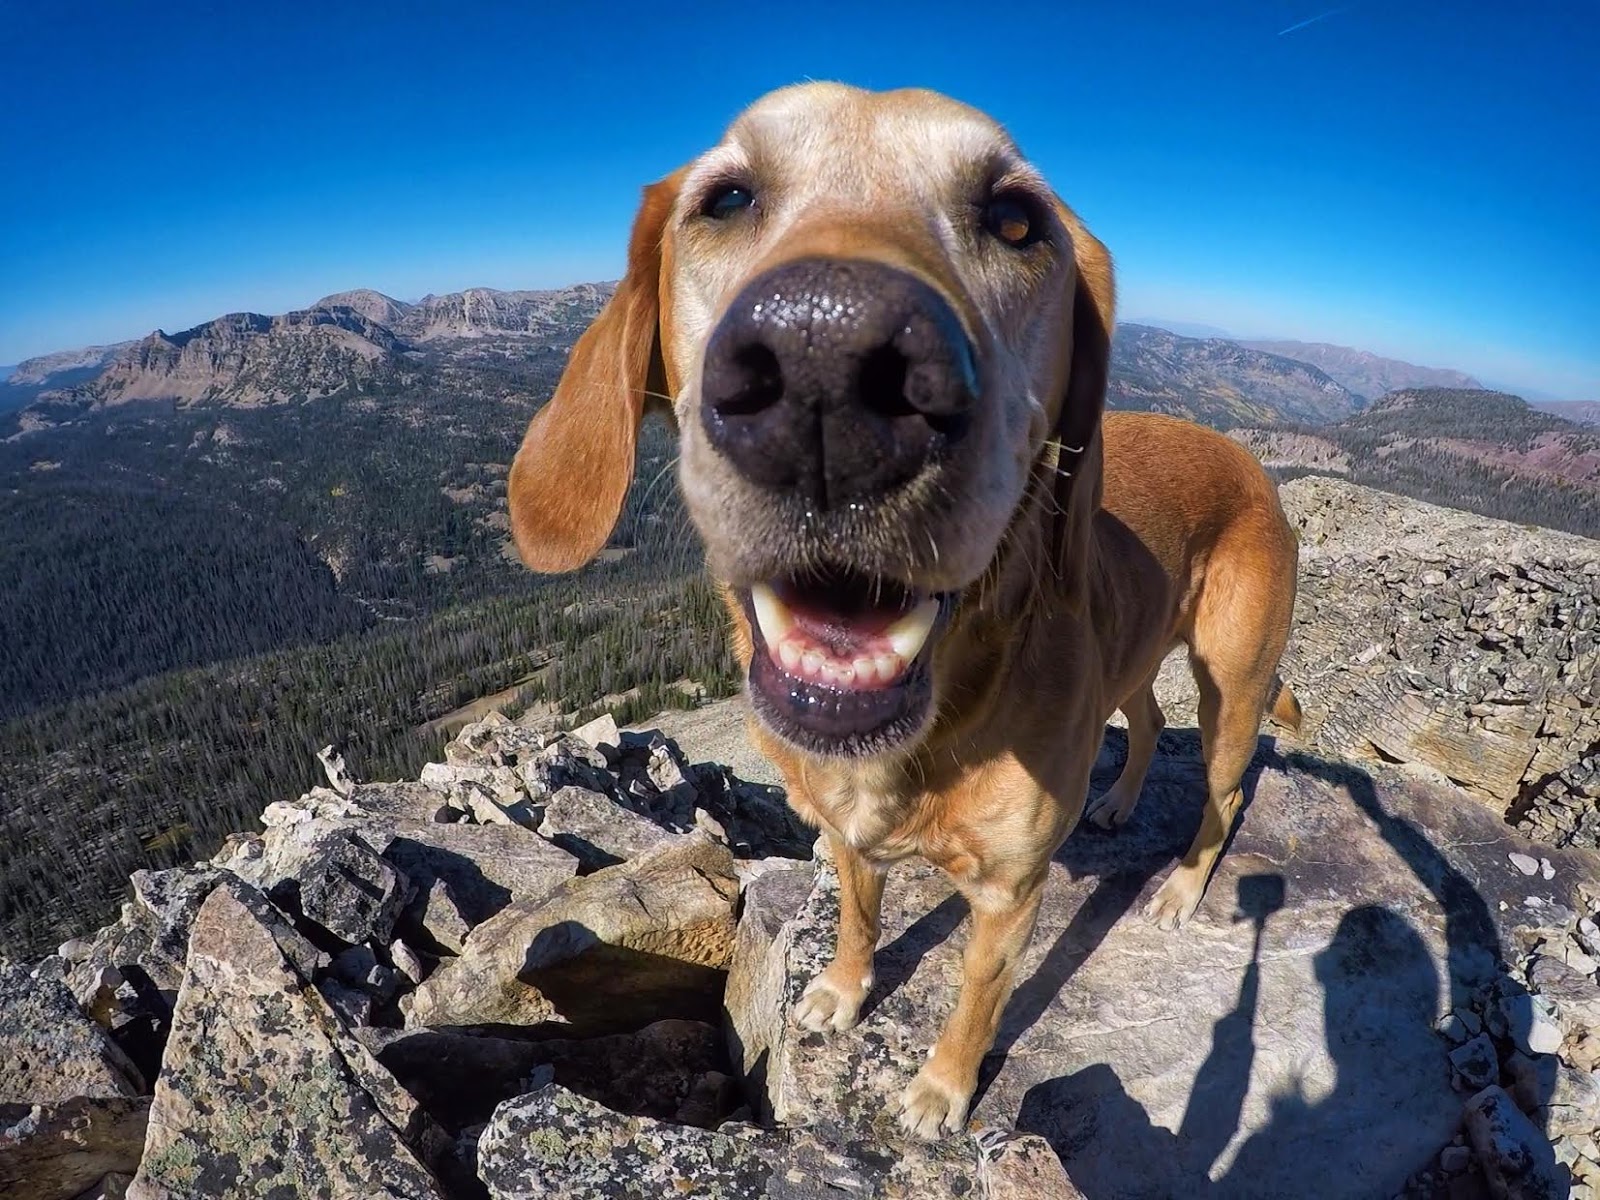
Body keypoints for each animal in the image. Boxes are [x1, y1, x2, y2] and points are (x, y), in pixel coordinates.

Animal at [505, 82, 1305, 1139]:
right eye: (726, 199)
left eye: (1017, 221)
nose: (826, 367)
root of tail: (1251, 462)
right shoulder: (846, 838)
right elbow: (858, 917)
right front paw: (844, 990)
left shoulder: (1009, 895)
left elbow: (976, 1001)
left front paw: (942, 1090)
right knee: (1142, 716)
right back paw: (1119, 800)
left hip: (1236, 686)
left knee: (1221, 791)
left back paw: (1179, 885)